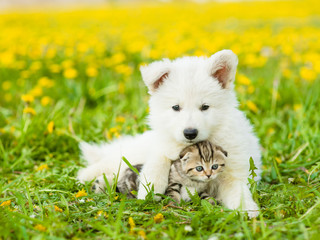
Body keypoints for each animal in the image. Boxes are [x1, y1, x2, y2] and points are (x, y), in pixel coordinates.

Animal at [77, 50, 260, 218]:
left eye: (205, 107)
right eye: (176, 107)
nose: (190, 133)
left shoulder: (233, 172)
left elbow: (238, 191)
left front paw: (248, 210)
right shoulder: (163, 145)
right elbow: (158, 161)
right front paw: (149, 189)